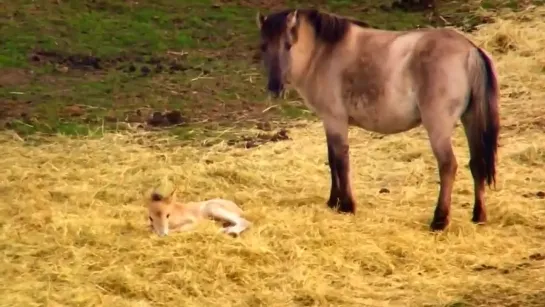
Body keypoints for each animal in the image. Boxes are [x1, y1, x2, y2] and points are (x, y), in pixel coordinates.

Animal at [255, 8, 498, 232]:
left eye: (288, 45)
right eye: (264, 46)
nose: (274, 88)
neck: (324, 54)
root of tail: (469, 50)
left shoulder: (335, 119)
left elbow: (341, 161)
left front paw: (347, 205)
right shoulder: (328, 121)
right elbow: (332, 159)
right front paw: (333, 202)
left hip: (438, 126)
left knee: (448, 165)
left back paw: (439, 221)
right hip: (470, 120)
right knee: (477, 163)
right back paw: (479, 216)